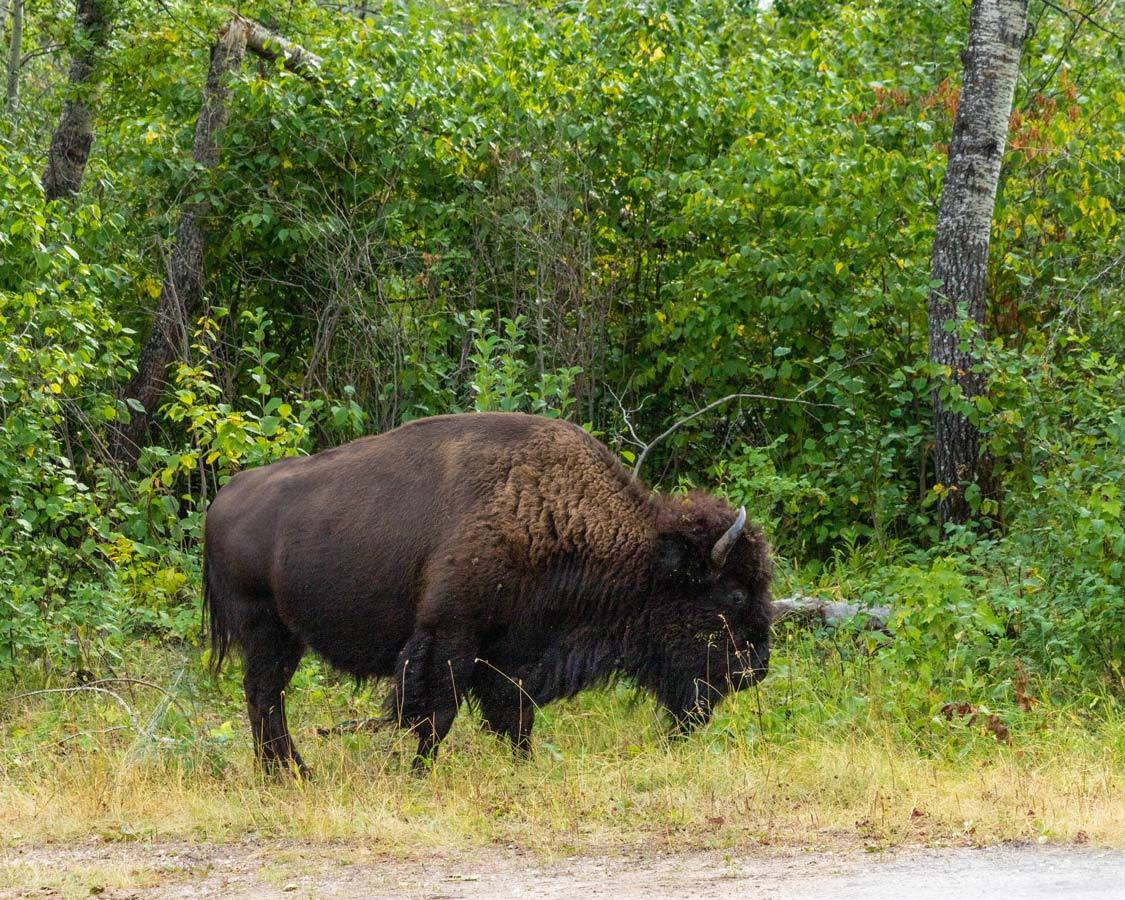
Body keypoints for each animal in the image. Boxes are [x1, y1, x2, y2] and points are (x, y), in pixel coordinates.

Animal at [204, 411, 774, 769]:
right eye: (733, 596)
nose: (756, 668)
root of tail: (222, 500)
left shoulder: (513, 652)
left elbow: (514, 714)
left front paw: (524, 766)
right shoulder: (451, 638)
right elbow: (436, 715)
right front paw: (418, 773)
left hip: (287, 637)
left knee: (267, 699)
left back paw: (289, 772)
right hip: (266, 631)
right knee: (264, 698)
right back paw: (290, 772)